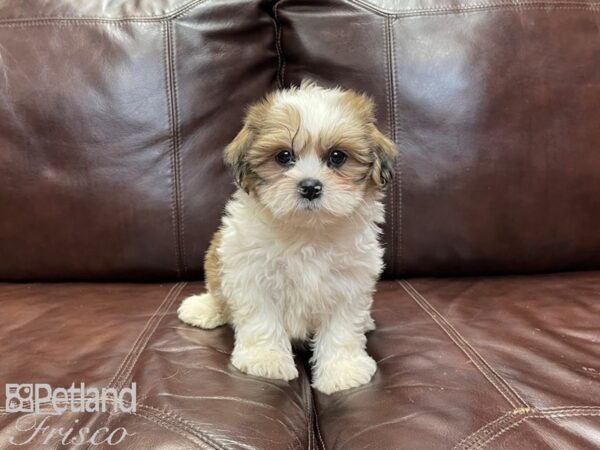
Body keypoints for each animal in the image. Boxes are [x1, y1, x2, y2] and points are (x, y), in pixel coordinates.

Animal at [176, 81, 396, 394]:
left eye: (337, 157)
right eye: (283, 156)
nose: (310, 187)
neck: (307, 231)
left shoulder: (349, 282)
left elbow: (342, 328)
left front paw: (342, 369)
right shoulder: (250, 271)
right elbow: (261, 318)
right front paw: (265, 359)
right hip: (217, 257)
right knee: (218, 292)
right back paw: (204, 308)